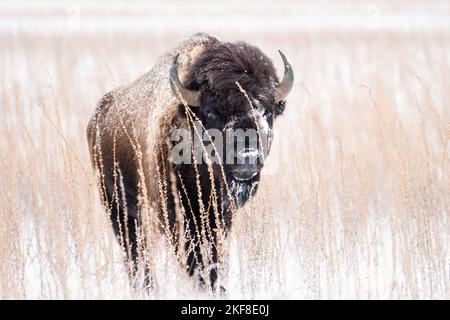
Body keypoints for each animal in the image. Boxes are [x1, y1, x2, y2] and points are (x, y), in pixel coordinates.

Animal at [86, 33, 294, 292]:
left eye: (267, 112)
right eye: (212, 113)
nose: (247, 159)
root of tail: (97, 118)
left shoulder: (219, 218)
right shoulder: (177, 218)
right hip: (118, 209)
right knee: (136, 254)